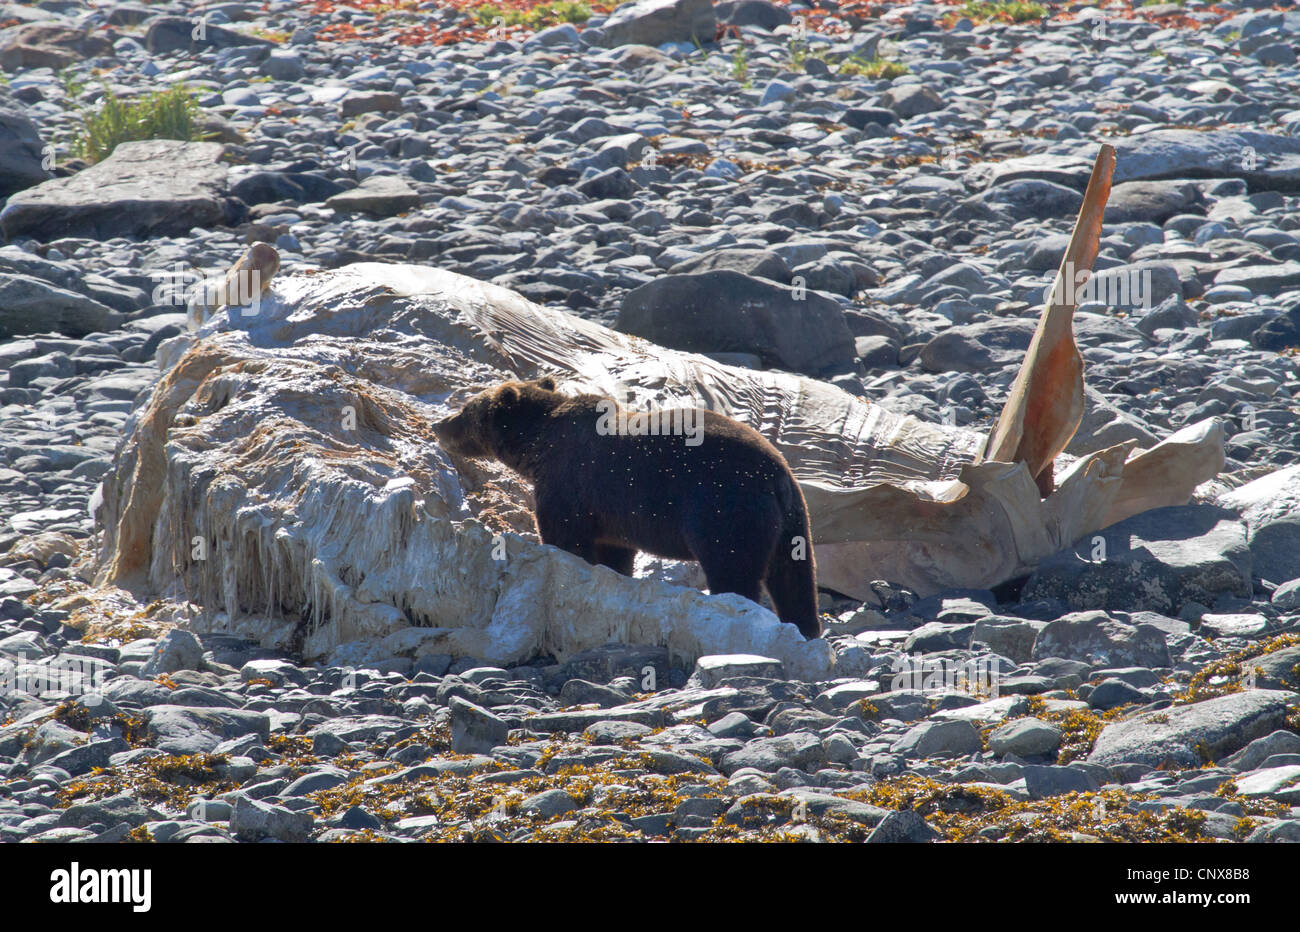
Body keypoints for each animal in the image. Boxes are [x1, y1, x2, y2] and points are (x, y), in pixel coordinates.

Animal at [436, 374, 821, 636]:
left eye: (466, 408)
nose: (439, 424)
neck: (536, 447)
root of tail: (777, 475)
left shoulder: (569, 484)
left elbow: (565, 539)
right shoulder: (612, 515)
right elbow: (614, 554)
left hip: (724, 507)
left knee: (734, 568)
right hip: (793, 522)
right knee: (794, 579)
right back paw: (805, 630)